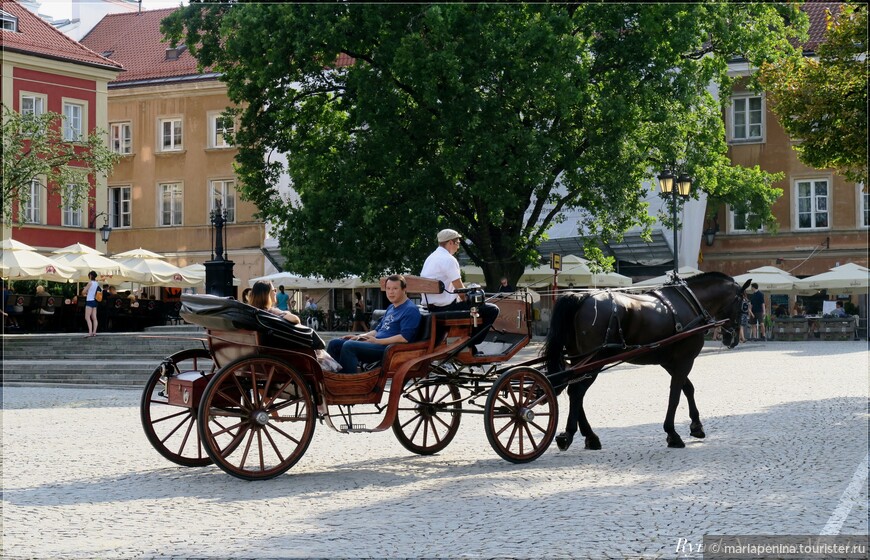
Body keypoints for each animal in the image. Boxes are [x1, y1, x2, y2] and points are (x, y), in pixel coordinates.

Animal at [544, 272, 748, 450]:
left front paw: (696, 426)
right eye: (744, 306)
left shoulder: (670, 362)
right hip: (594, 361)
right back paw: (570, 434)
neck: (691, 302)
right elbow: (675, 395)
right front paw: (672, 433)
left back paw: (589, 436)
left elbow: (688, 389)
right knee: (577, 392)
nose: (732, 339)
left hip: (579, 361)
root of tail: (582, 297)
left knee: (574, 392)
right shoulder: (684, 360)